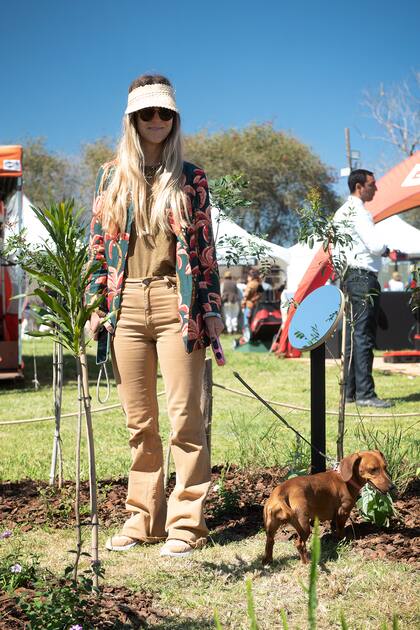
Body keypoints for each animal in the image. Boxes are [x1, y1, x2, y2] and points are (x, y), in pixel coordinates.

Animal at [262, 452, 394, 564]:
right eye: (373, 469)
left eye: (385, 467)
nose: (392, 487)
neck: (345, 479)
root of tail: (280, 492)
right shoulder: (343, 512)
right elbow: (340, 529)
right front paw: (342, 539)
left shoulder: (335, 515)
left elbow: (334, 527)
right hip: (304, 526)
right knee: (299, 544)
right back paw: (306, 563)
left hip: (271, 526)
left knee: (270, 542)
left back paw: (267, 561)